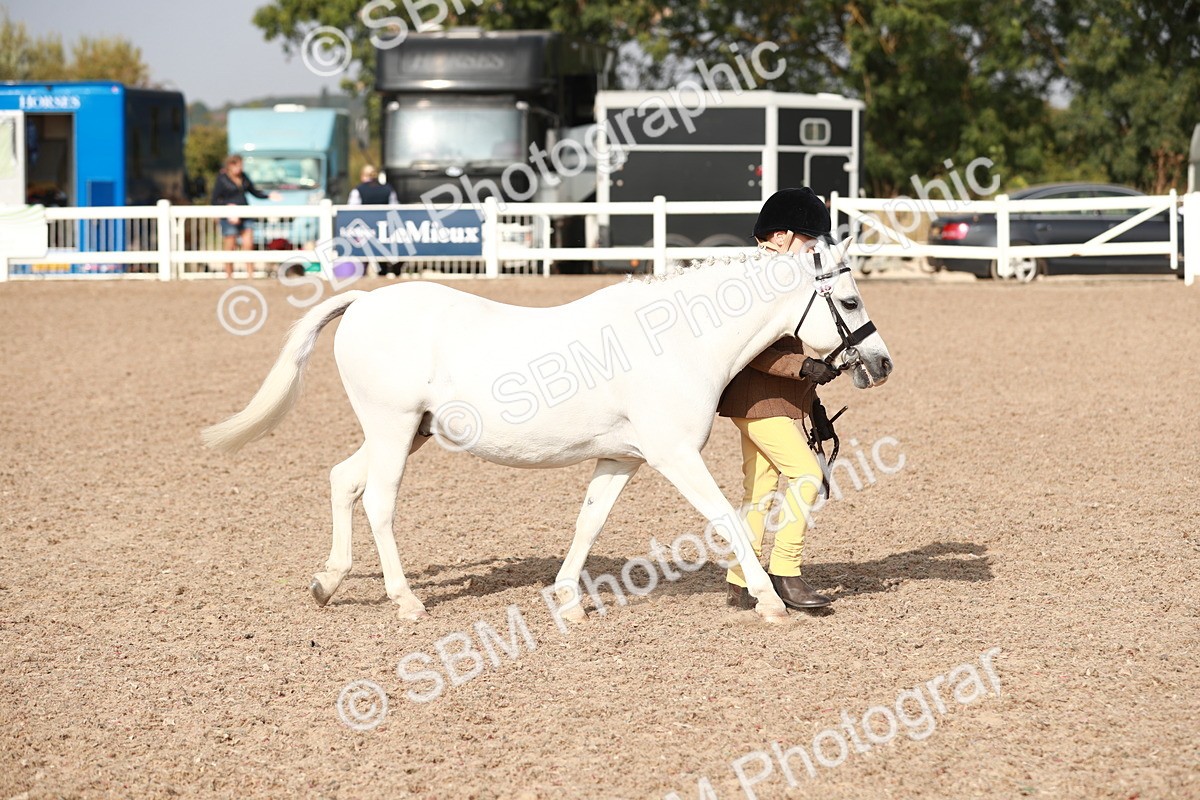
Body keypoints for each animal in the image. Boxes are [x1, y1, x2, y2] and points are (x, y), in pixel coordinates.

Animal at [201, 238, 893, 624]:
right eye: (850, 302)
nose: (882, 364)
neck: (673, 338)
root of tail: (366, 301)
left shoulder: (623, 458)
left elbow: (589, 520)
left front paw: (567, 599)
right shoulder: (673, 454)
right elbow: (724, 515)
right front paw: (771, 602)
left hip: (403, 431)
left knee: (343, 480)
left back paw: (327, 583)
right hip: (393, 429)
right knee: (378, 501)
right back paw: (406, 602)